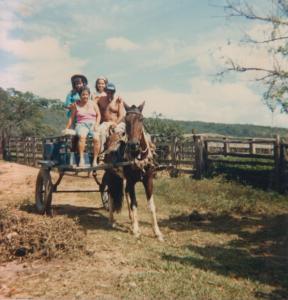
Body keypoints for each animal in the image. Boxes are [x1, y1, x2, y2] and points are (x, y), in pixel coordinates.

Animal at [103, 102, 163, 241]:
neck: (139, 157)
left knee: (124, 193)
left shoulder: (148, 180)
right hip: (110, 174)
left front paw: (157, 232)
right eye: (126, 120)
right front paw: (136, 230)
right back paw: (111, 220)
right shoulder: (131, 181)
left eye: (141, 119)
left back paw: (130, 220)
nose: (133, 145)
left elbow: (151, 206)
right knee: (111, 195)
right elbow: (134, 203)